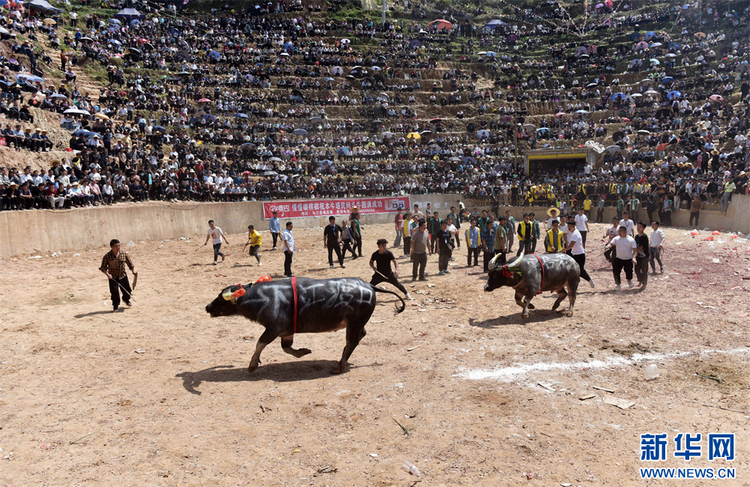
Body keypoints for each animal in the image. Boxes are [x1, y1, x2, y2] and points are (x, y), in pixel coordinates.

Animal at [206, 276, 406, 376]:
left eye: (220, 298)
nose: (207, 307)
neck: (265, 297)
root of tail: (369, 286)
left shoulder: (273, 328)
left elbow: (260, 344)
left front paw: (252, 365)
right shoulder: (286, 331)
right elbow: (286, 348)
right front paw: (303, 352)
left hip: (354, 323)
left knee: (352, 342)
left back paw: (339, 366)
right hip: (356, 323)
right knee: (361, 335)